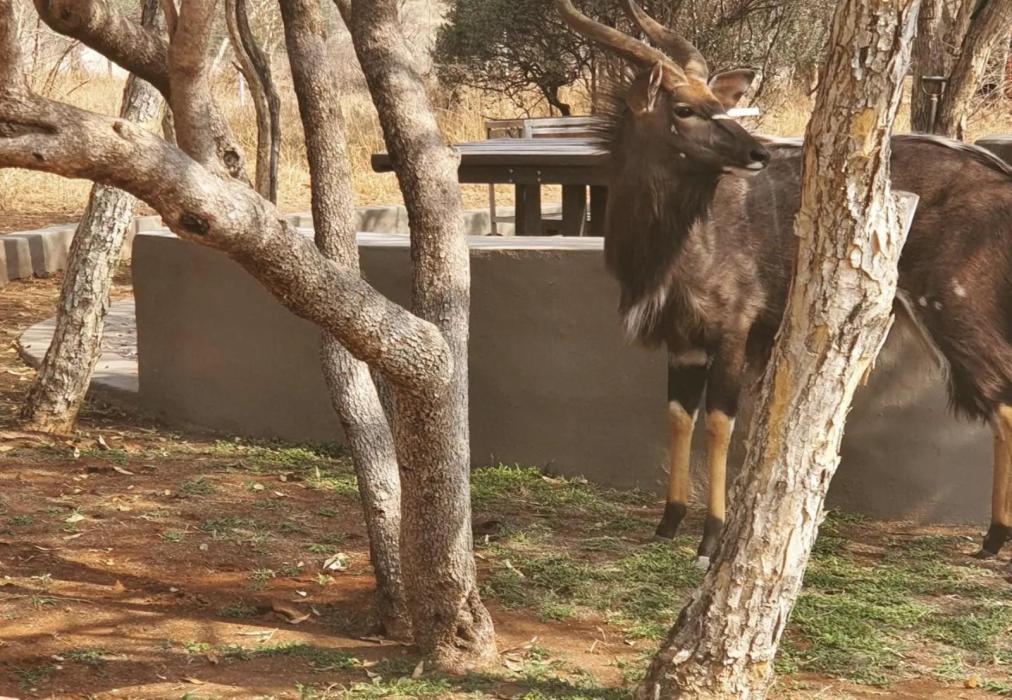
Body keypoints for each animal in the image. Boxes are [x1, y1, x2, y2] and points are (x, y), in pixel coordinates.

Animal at [556, 0, 1012, 566]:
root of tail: (999, 177)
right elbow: (679, 416)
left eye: (718, 104)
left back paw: (993, 539)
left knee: (1002, 397)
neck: (671, 242)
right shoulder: (683, 341)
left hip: (953, 306)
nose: (758, 153)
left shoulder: (733, 329)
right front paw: (667, 524)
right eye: (683, 109)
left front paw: (710, 539)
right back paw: (993, 538)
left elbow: (719, 420)